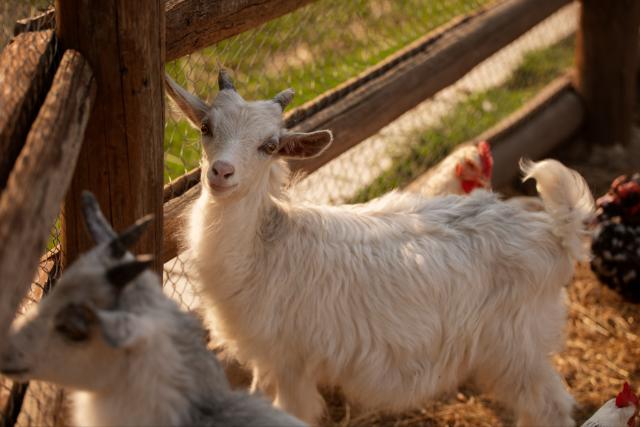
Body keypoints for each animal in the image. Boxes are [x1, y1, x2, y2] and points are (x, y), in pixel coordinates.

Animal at [166, 71, 596, 427]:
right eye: (206, 127)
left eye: (269, 146)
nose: (221, 172)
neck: (264, 246)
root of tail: (552, 232)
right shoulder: (265, 357)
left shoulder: (292, 361)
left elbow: (293, 412)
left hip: (516, 345)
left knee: (550, 406)